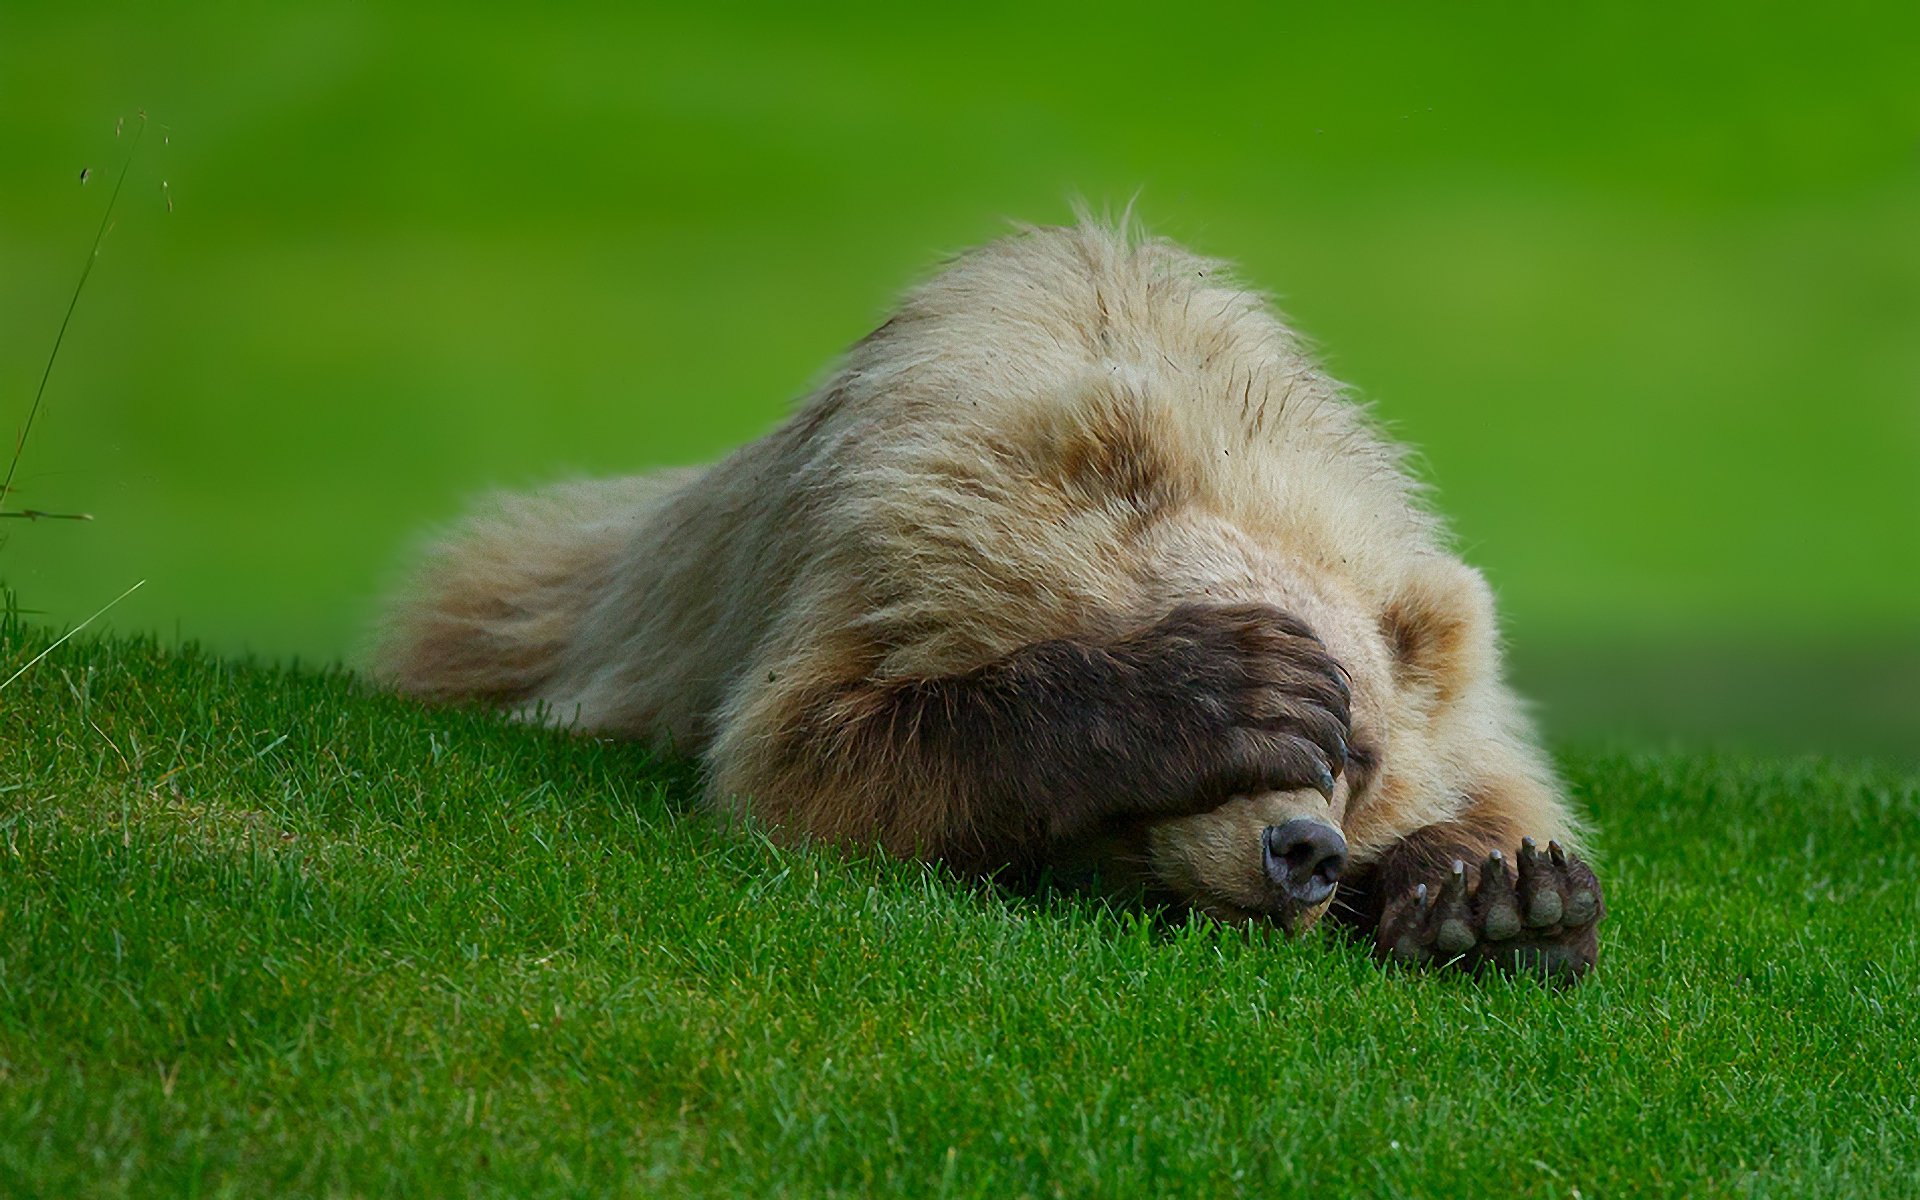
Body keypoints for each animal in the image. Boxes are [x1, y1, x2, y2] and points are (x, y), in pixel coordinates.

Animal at [375, 218, 1605, 979]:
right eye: (1313, 715)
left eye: (1361, 752)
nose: (1300, 851)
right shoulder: (884, 547)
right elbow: (809, 752)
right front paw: (1216, 692)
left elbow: (1499, 789)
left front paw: (1497, 900)